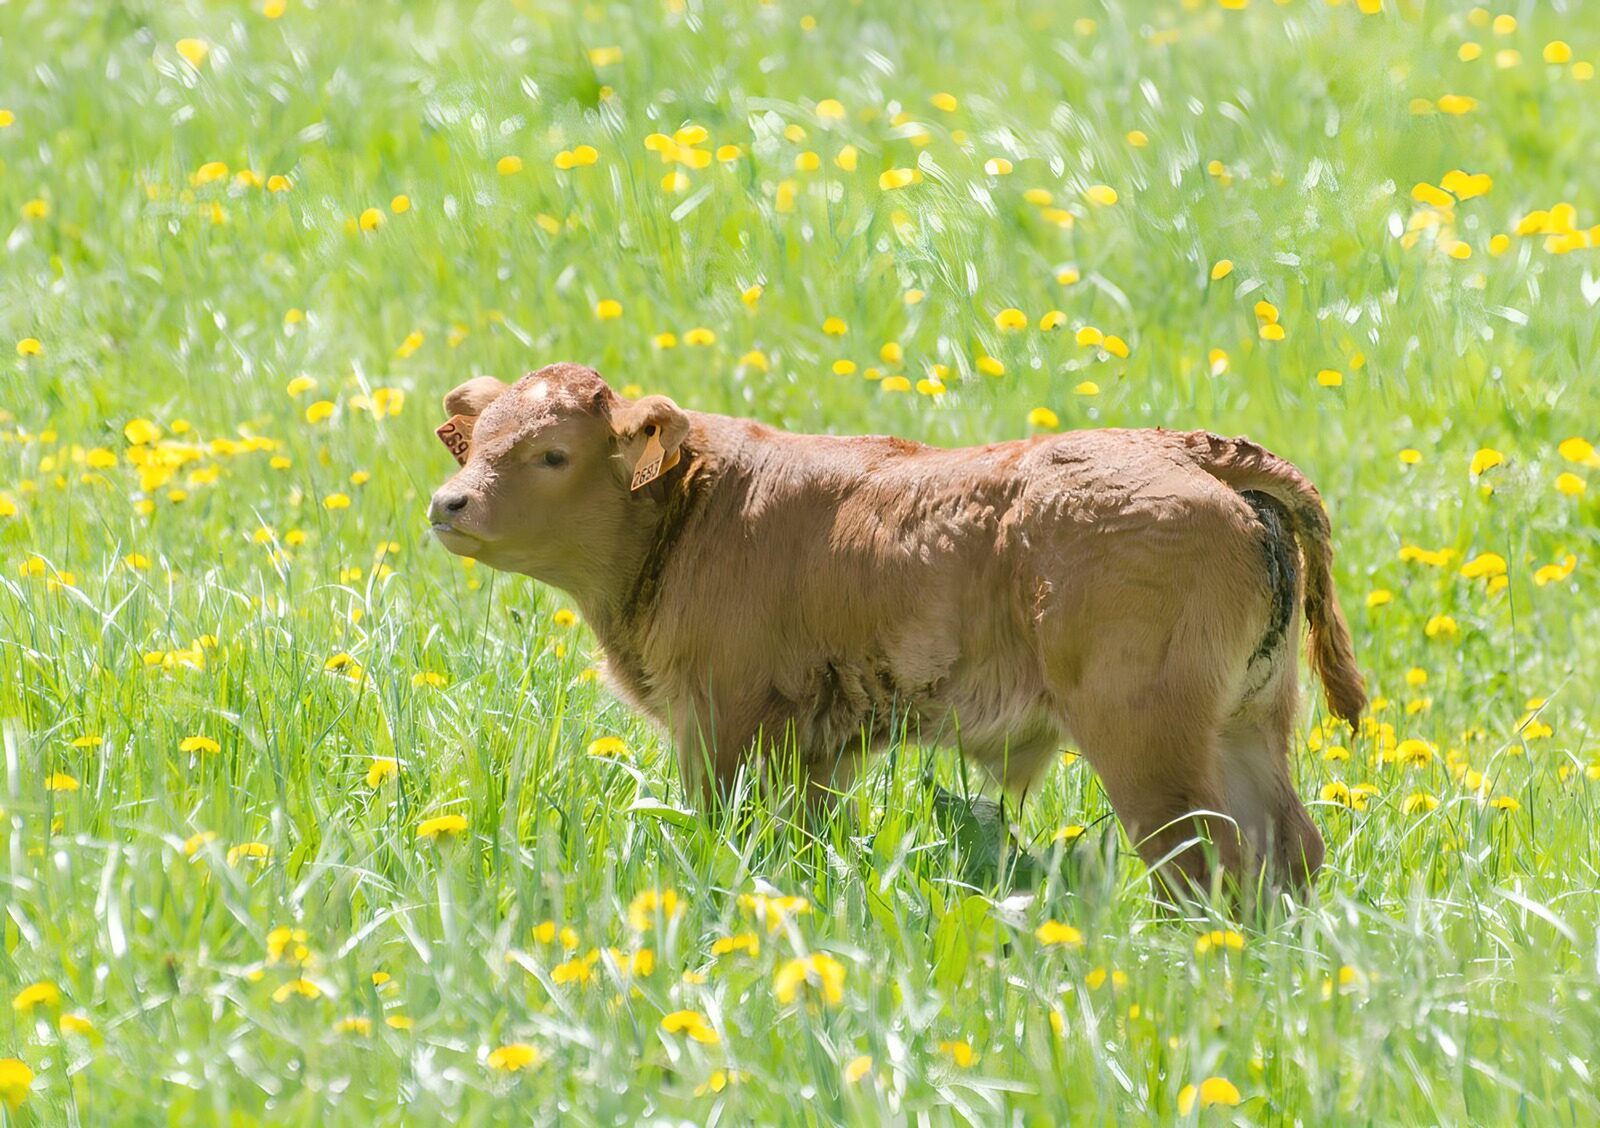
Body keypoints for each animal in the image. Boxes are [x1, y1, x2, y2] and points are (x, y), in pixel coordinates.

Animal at [427, 362, 1365, 894]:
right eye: (477, 444)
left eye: (553, 453)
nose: (449, 503)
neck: (701, 502)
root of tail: (1190, 450)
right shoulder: (818, 750)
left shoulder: (723, 727)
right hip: (1245, 725)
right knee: (1285, 850)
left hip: (1151, 746)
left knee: (1206, 860)